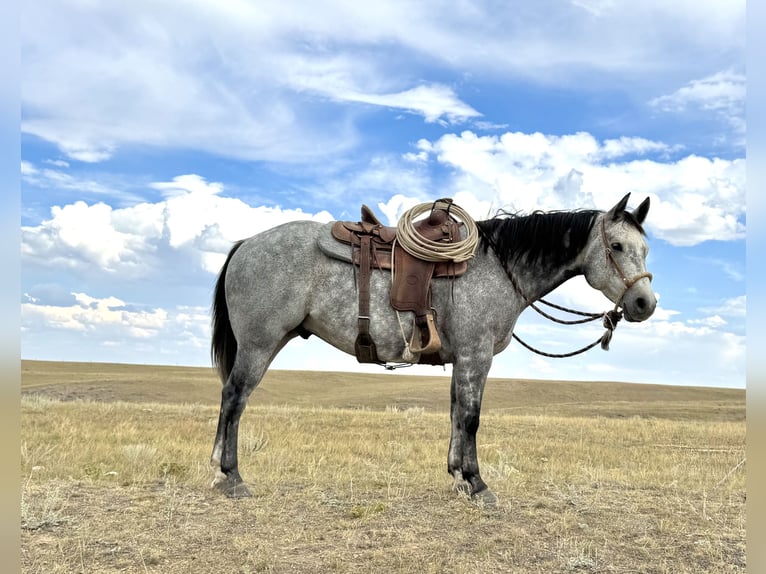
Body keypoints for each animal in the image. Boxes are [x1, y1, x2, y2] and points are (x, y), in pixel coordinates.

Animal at [209, 193, 656, 504]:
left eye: (645, 249)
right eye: (617, 247)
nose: (644, 304)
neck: (499, 268)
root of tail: (246, 243)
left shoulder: (462, 361)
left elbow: (457, 415)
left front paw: (458, 477)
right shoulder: (476, 357)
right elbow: (471, 419)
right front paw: (477, 484)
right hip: (259, 344)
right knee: (234, 399)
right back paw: (229, 476)